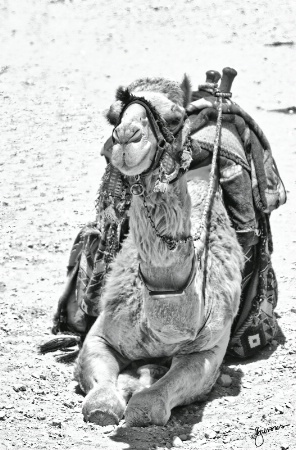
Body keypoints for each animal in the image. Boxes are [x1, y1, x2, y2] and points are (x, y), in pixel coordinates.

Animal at [74, 76, 245, 426]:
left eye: (175, 117)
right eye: (113, 117)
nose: (126, 136)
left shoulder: (208, 352)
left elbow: (149, 405)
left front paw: (141, 382)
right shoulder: (100, 335)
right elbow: (100, 403)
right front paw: (124, 387)